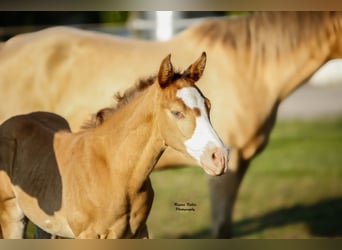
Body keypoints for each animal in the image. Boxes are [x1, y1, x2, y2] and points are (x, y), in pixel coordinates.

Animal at [0, 53, 230, 239]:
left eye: (208, 105)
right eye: (176, 112)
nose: (220, 157)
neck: (115, 172)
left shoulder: (139, 232)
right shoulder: (88, 235)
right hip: (11, 215)